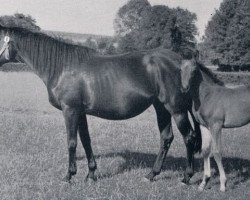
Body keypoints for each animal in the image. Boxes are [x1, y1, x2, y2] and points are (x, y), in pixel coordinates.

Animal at [181, 58, 250, 191]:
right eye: (180, 69)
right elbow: (205, 150)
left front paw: (223, 184)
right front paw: (203, 183)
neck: (207, 95)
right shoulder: (204, 126)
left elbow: (217, 152)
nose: (184, 88)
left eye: (194, 70)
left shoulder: (216, 126)